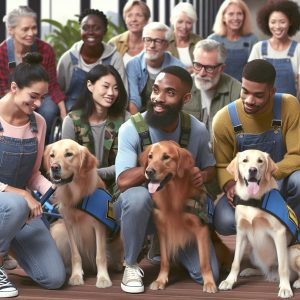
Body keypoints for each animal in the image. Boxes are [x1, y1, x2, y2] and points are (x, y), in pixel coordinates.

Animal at [42, 139, 122, 288]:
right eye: (52, 155)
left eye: (69, 154)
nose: (54, 167)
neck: (77, 195)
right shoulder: (69, 225)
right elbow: (75, 255)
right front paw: (76, 275)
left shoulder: (99, 226)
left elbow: (100, 256)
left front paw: (103, 278)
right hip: (58, 230)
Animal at [219, 150, 300, 298]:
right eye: (244, 160)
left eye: (260, 161)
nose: (253, 170)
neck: (253, 201)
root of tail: (272, 275)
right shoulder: (241, 233)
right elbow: (235, 262)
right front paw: (229, 281)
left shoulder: (279, 233)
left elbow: (283, 266)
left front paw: (285, 288)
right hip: (253, 252)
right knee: (264, 270)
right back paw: (250, 271)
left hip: (292, 251)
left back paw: (296, 282)